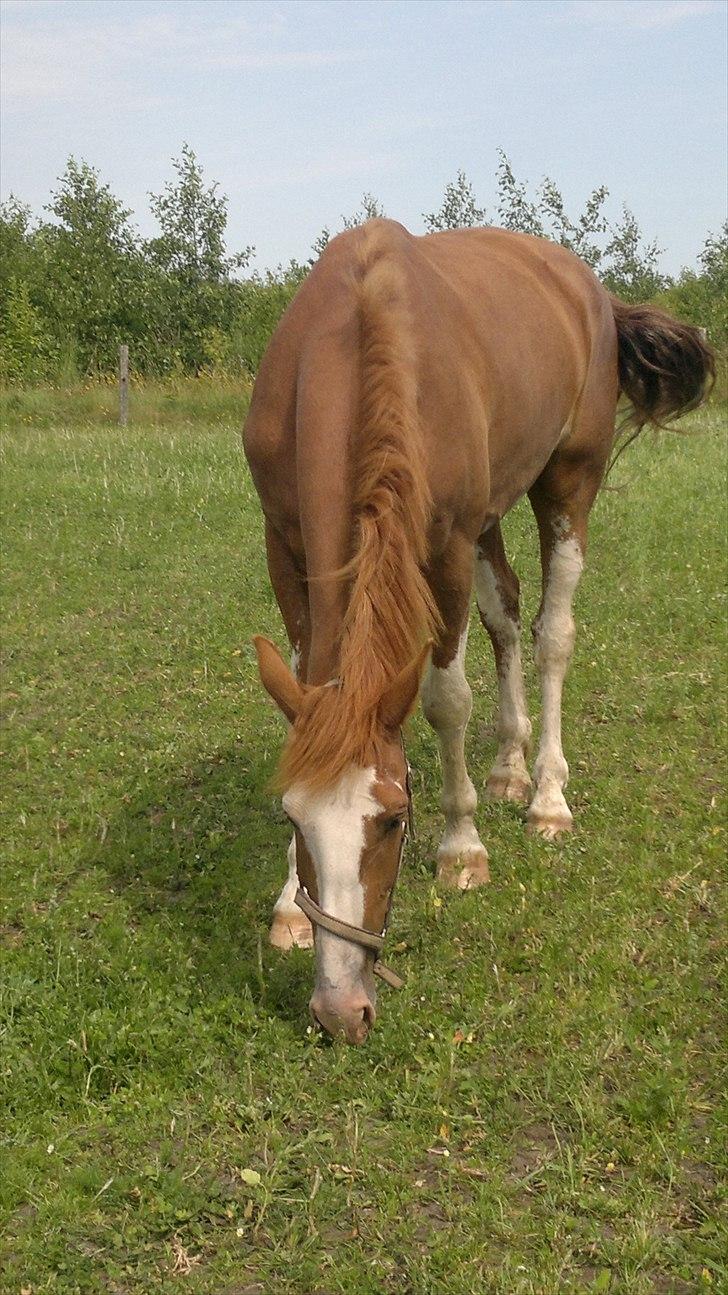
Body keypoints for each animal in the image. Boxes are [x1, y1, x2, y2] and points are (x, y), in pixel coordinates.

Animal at [242, 220, 709, 1041]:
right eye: (294, 817)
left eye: (395, 820)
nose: (339, 1009)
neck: (358, 338)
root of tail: (591, 289)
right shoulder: (284, 544)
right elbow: (303, 706)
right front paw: (286, 905)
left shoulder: (447, 546)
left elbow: (446, 700)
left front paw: (462, 849)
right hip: (493, 508)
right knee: (509, 616)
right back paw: (508, 767)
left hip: (565, 484)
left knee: (553, 633)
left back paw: (545, 796)